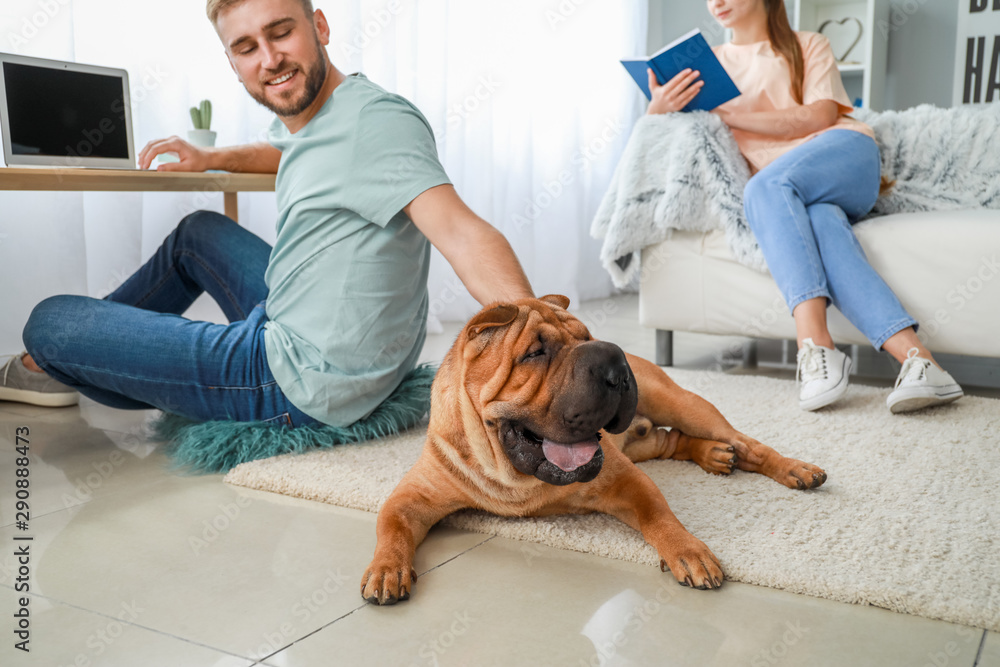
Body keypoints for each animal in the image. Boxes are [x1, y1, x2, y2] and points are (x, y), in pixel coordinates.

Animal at [364, 298, 824, 604]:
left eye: (586, 337)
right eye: (535, 353)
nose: (615, 363)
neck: (512, 475)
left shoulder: (626, 479)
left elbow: (660, 517)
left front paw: (690, 552)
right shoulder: (412, 496)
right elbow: (391, 526)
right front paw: (386, 570)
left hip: (684, 404)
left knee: (748, 443)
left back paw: (796, 469)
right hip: (648, 440)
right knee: (672, 440)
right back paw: (714, 455)